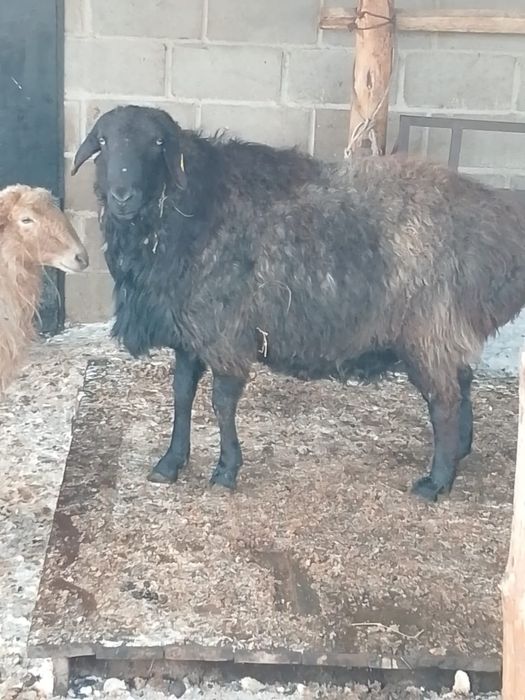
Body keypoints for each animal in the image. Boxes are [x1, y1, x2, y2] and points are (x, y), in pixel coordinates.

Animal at [72, 105, 525, 502]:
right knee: (462, 383)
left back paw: (436, 482)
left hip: (428, 328)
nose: (122, 196)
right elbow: (182, 394)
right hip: (443, 330)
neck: (189, 208)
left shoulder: (225, 332)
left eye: (158, 143)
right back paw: (460, 453)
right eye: (104, 141)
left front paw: (226, 470)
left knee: (444, 400)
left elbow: (221, 402)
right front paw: (170, 462)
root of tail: (500, 229)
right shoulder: (189, 331)